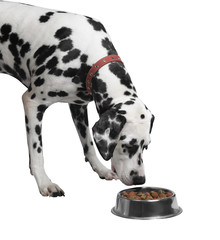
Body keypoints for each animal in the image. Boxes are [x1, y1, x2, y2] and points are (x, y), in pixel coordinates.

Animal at [0, 0, 155, 197]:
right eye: (127, 144)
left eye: (146, 146)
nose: (140, 180)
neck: (87, 54)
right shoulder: (32, 102)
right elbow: (37, 151)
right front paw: (44, 182)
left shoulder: (78, 106)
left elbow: (88, 144)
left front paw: (100, 169)